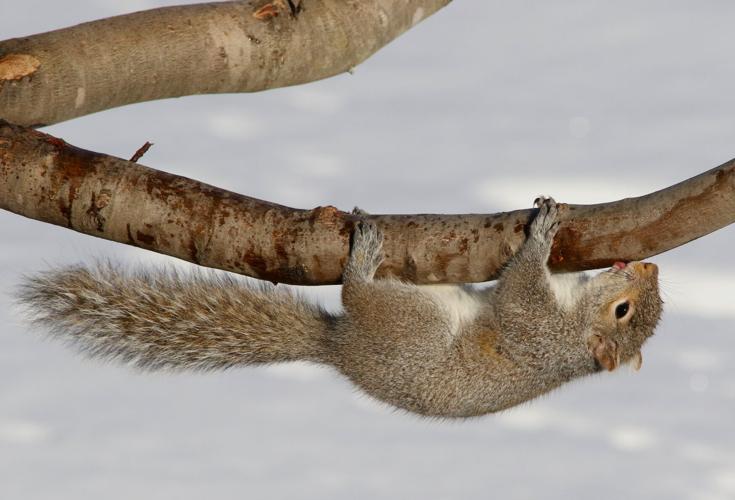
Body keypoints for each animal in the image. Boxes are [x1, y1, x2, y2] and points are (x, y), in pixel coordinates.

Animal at [18, 197, 663, 418]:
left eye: (622, 313)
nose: (650, 267)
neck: (573, 324)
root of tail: (340, 348)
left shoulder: (537, 328)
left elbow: (521, 291)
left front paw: (542, 235)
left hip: (412, 322)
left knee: (356, 294)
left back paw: (362, 259)